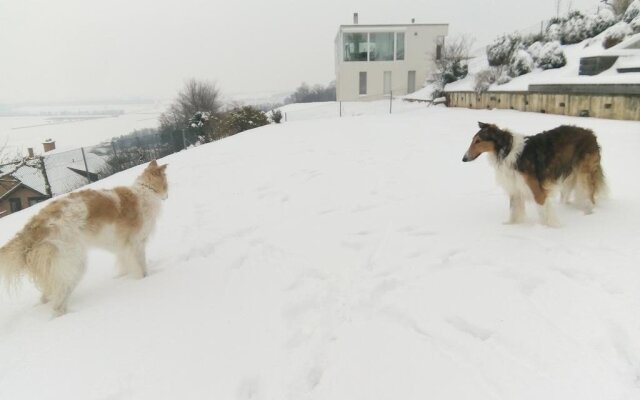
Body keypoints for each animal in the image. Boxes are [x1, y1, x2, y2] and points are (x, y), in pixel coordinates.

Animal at [0, 159, 168, 316]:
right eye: (166, 184)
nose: (167, 196)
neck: (145, 190)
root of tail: (33, 228)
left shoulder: (123, 248)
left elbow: (126, 265)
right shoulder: (136, 243)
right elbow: (141, 268)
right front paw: (144, 279)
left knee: (47, 295)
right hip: (72, 264)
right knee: (58, 303)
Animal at [460, 122, 604, 227]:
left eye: (478, 141)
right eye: (473, 140)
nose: (464, 159)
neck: (506, 150)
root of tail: (591, 133)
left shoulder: (537, 191)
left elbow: (542, 211)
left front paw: (548, 227)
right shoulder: (515, 187)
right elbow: (513, 210)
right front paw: (509, 226)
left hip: (584, 175)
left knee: (590, 198)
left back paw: (589, 215)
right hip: (569, 178)